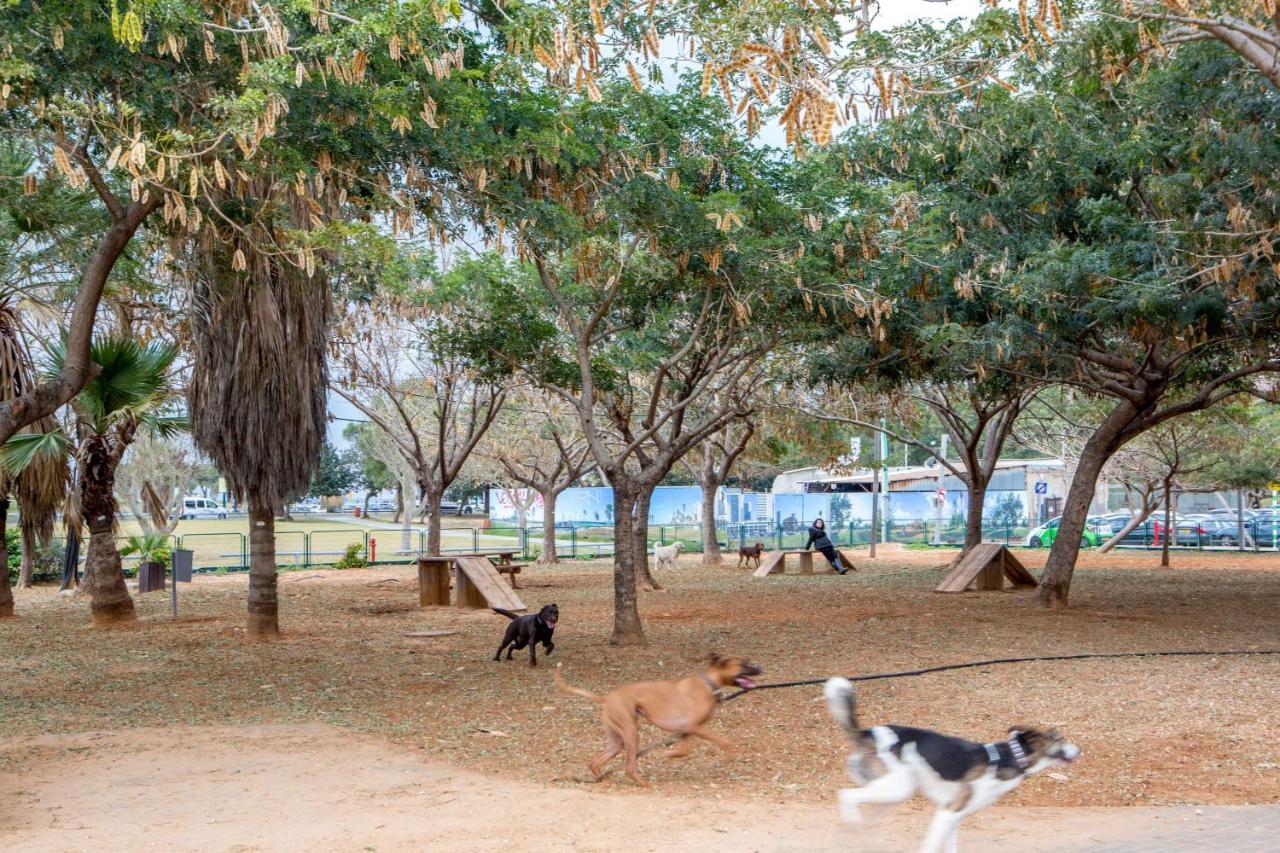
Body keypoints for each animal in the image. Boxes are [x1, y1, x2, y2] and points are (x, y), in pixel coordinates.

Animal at [552, 650, 757, 783]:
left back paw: (599, 778)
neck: (708, 684)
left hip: (616, 742)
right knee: (629, 767)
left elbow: (685, 750)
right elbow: (722, 742)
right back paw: (643, 783)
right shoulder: (692, 727)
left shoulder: (687, 730)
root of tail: (608, 698)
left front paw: (672, 753)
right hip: (631, 733)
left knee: (595, 762)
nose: (760, 668)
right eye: (744, 664)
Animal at [819, 676, 1080, 850]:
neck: (1010, 756)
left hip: (892, 792)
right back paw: (853, 824)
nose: (1080, 749)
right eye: (1059, 738)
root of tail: (868, 733)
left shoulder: (954, 817)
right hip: (895, 788)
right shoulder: (948, 812)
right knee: (846, 795)